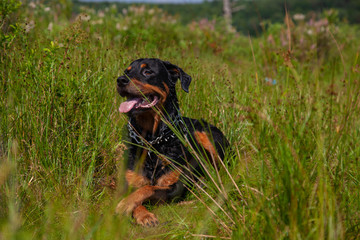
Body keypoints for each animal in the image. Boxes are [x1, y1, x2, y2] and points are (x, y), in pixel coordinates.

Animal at [116, 58, 231, 227]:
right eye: (126, 72)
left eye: (147, 72)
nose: (120, 80)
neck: (153, 140)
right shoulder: (127, 183)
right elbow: (137, 194)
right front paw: (143, 214)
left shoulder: (174, 186)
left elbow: (149, 188)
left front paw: (125, 204)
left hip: (205, 136)